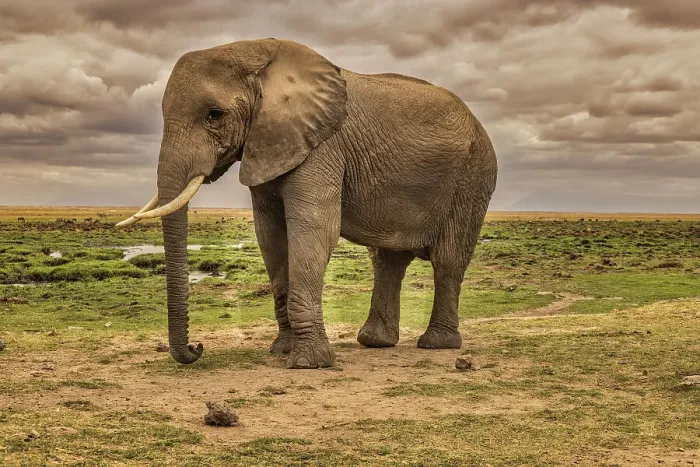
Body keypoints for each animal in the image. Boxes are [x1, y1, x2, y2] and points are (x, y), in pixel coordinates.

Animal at [117, 38, 498, 369]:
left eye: (214, 114)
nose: (198, 347)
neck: (259, 57)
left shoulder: (323, 147)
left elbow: (314, 230)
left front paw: (307, 364)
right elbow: (270, 237)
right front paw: (281, 350)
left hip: (473, 177)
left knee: (448, 259)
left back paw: (437, 345)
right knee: (387, 261)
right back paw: (375, 342)